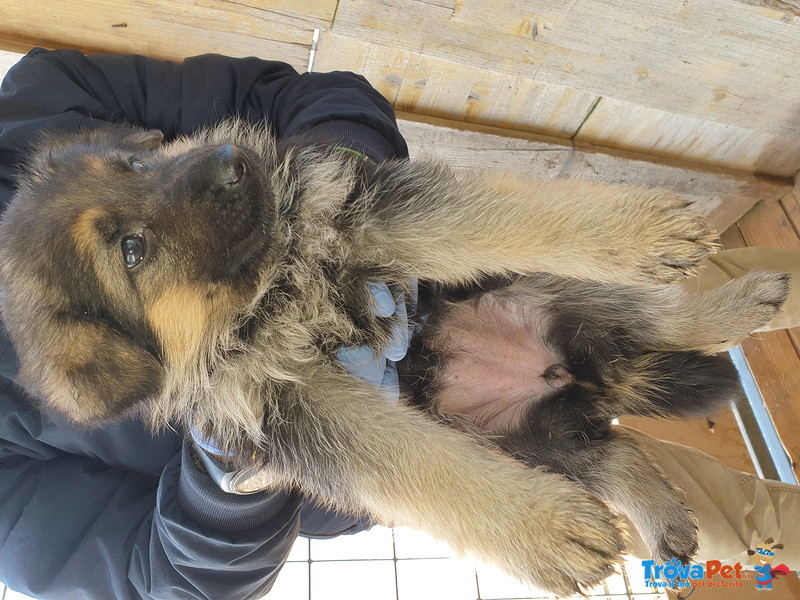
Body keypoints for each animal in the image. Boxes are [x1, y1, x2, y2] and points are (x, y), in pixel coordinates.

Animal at [0, 120, 788, 595]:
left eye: (135, 161)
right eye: (131, 250)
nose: (234, 160)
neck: (270, 287)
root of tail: (577, 378)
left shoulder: (367, 214)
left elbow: (509, 219)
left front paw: (637, 229)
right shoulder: (293, 408)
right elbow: (411, 462)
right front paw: (548, 531)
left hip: (540, 291)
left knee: (655, 314)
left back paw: (738, 302)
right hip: (530, 439)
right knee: (616, 449)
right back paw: (661, 513)